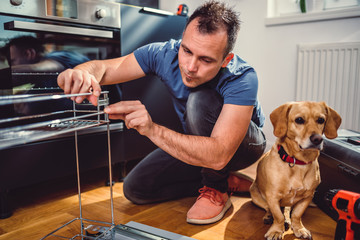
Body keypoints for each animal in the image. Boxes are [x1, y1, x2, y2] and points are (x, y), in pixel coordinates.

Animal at [249, 100, 342, 239]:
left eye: (321, 120)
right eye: (299, 120)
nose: (317, 139)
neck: (298, 163)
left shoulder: (307, 197)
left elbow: (296, 215)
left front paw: (299, 228)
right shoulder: (272, 197)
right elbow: (278, 216)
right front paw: (276, 230)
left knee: (287, 212)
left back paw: (287, 221)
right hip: (255, 195)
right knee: (269, 209)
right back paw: (269, 217)